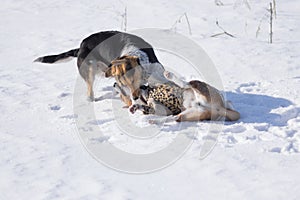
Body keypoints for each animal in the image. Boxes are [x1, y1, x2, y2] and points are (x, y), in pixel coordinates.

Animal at [35, 30, 168, 102]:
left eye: (133, 80)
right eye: (124, 83)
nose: (135, 98)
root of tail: (81, 46)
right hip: (90, 70)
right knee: (90, 91)